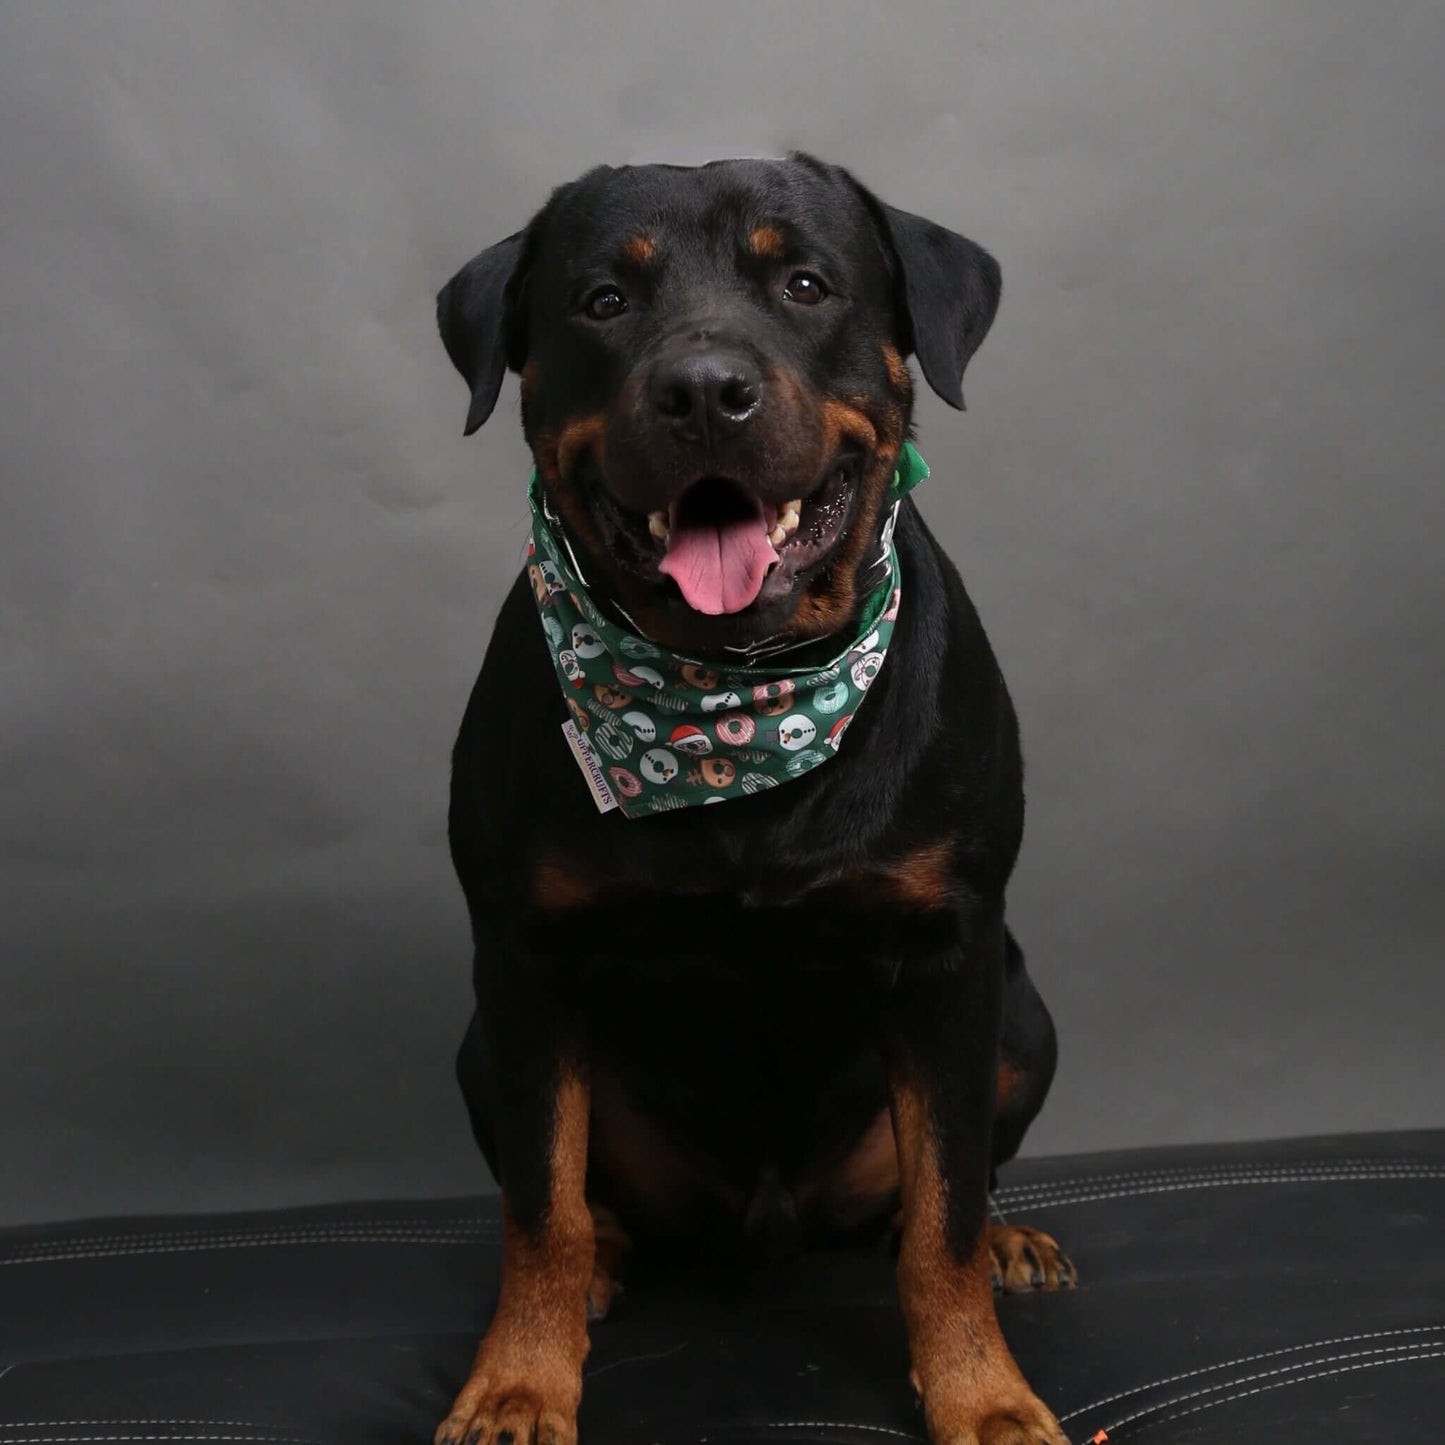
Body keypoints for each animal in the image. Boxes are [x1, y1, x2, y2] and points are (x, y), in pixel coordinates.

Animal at [430, 155, 1075, 1445]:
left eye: (806, 284)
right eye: (601, 302)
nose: (702, 390)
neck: (731, 710)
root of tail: (771, 1221)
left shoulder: (951, 955)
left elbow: (944, 1216)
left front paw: (981, 1394)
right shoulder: (521, 959)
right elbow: (538, 1205)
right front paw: (517, 1380)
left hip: (1023, 1018)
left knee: (941, 1192)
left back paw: (1009, 1240)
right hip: (483, 1047)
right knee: (589, 1197)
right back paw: (605, 1261)